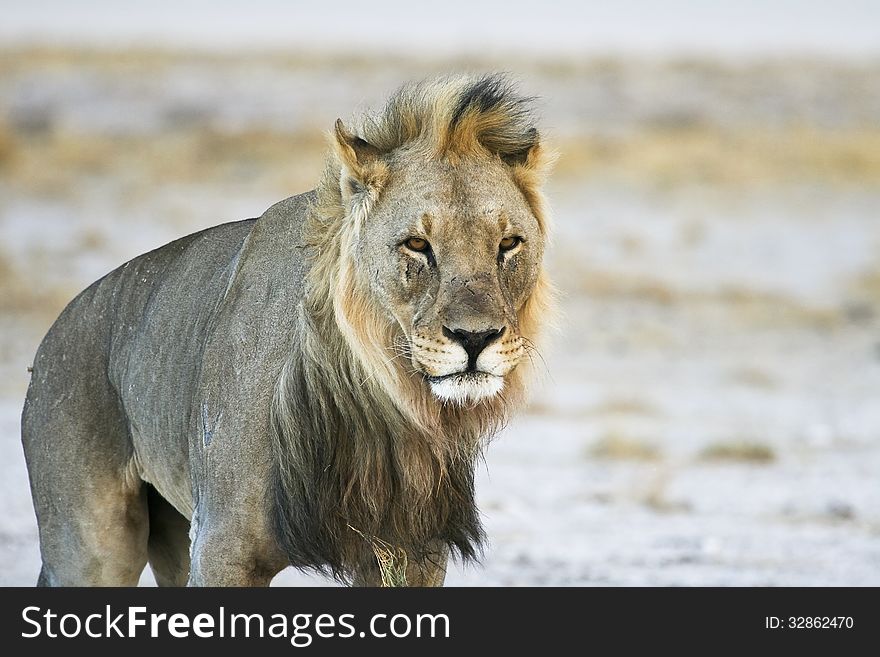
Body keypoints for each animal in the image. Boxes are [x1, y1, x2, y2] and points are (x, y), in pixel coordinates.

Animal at [22, 74, 552, 588]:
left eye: (508, 244)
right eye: (418, 245)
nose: (476, 338)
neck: (378, 406)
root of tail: (52, 337)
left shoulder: (412, 550)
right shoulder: (223, 549)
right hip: (90, 547)